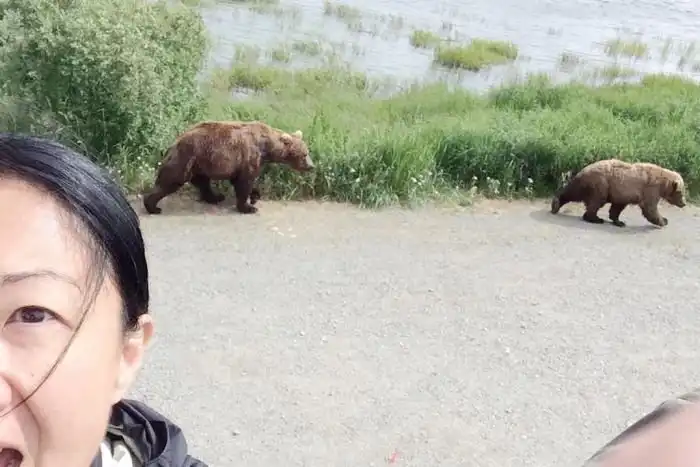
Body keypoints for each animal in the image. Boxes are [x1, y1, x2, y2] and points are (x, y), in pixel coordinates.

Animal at [142, 120, 314, 215]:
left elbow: (241, 180)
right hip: (188, 156)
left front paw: (255, 196)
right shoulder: (249, 155)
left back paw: (215, 197)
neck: (266, 147)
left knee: (202, 181)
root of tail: (176, 140)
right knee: (172, 179)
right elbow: (245, 181)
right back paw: (153, 206)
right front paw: (248, 207)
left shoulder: (240, 163)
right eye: (304, 154)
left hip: (201, 162)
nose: (311, 166)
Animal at [550, 158, 686, 227]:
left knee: (574, 192)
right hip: (600, 183)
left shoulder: (623, 192)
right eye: (681, 192)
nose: (684, 203)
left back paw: (556, 204)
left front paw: (619, 222)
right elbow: (650, 208)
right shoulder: (651, 188)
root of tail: (583, 170)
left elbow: (617, 206)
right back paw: (595, 218)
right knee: (595, 200)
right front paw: (664, 220)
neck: (663, 183)